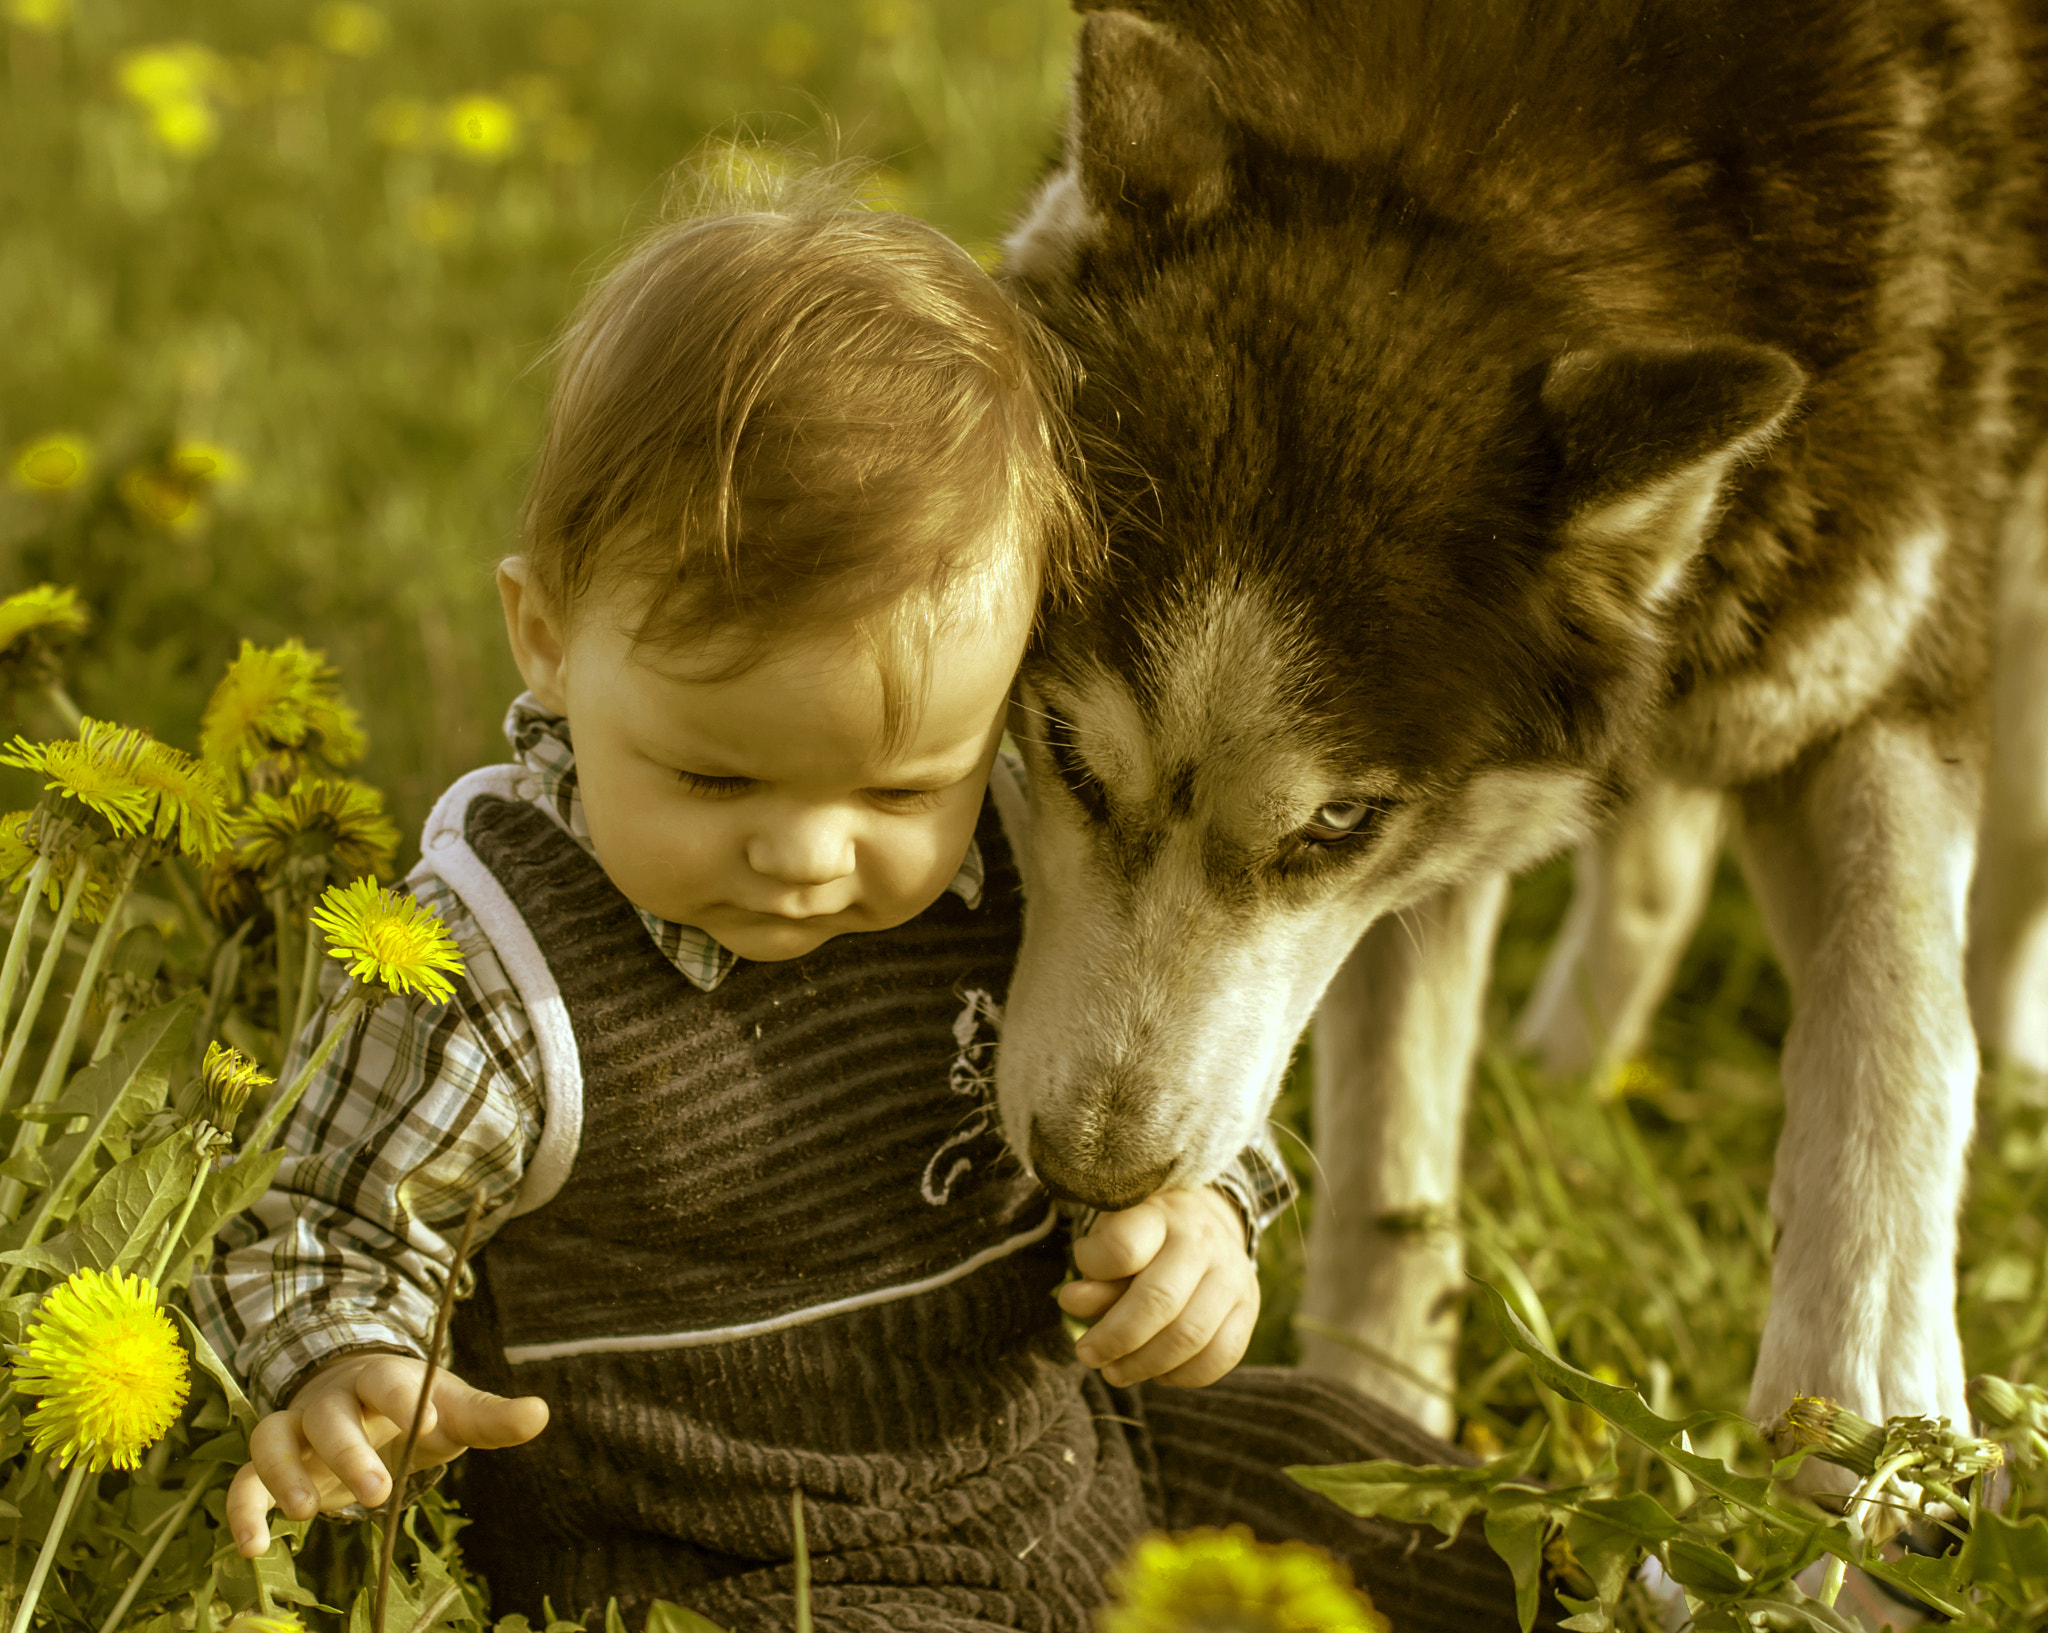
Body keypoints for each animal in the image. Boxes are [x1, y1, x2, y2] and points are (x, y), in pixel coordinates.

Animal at [995, 3, 2048, 1450]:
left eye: (1338, 819)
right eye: (1065, 753)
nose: (1092, 1175)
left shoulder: (1868, 659)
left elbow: (1894, 1011)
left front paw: (1866, 1412)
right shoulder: (1439, 844)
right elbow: (1393, 1160)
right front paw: (1373, 1410)